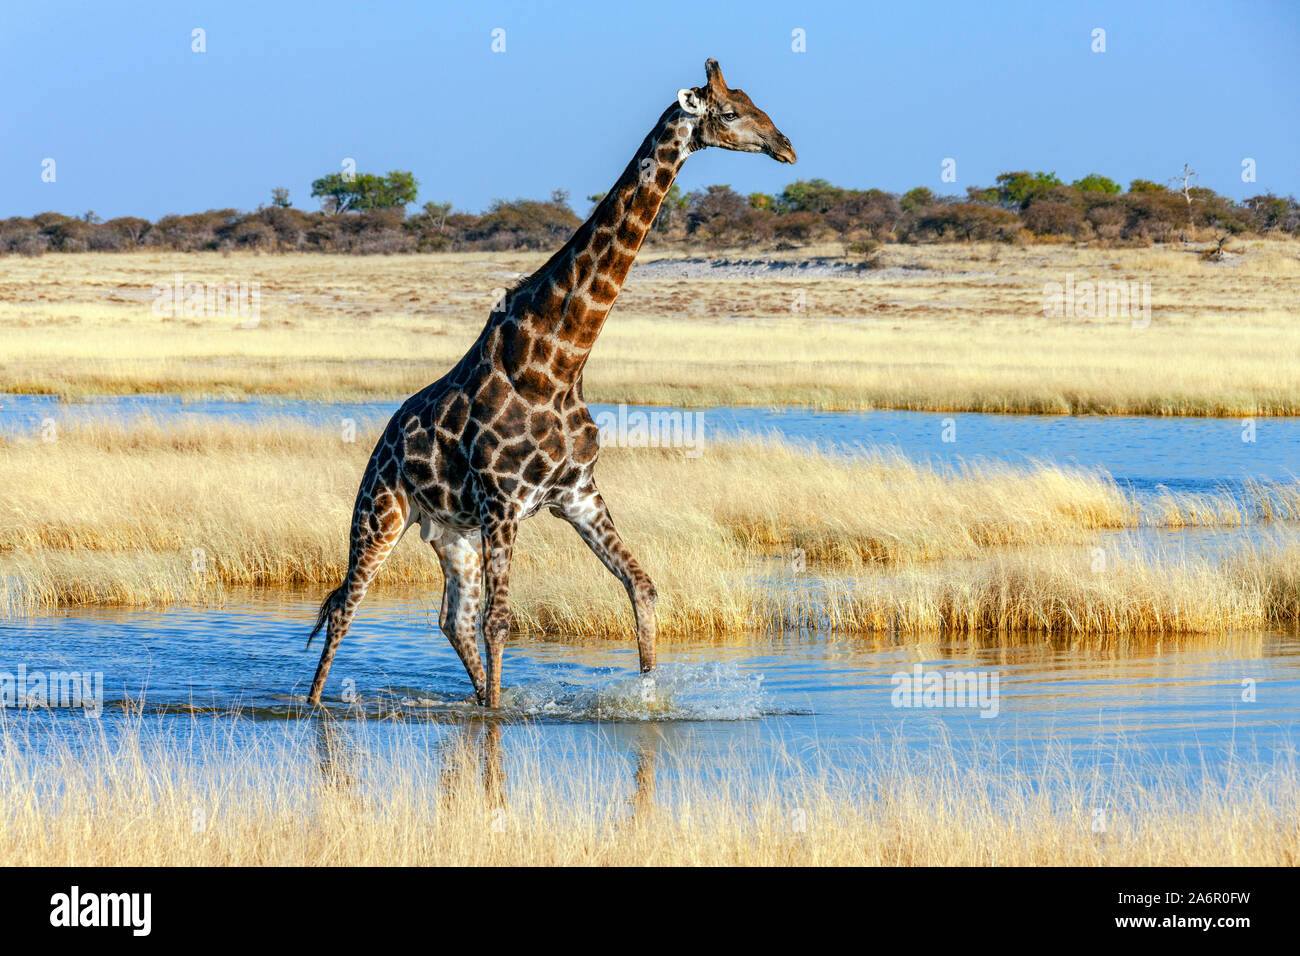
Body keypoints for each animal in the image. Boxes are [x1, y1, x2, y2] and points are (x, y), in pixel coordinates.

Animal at [306, 57, 790, 702]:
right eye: (731, 112)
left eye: (758, 104)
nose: (785, 146)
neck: (558, 365)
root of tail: (382, 442)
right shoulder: (505, 501)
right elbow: (501, 621)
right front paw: (498, 718)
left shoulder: (576, 493)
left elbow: (641, 586)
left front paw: (649, 696)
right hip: (380, 511)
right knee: (347, 607)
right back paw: (313, 704)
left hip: (453, 531)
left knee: (452, 618)